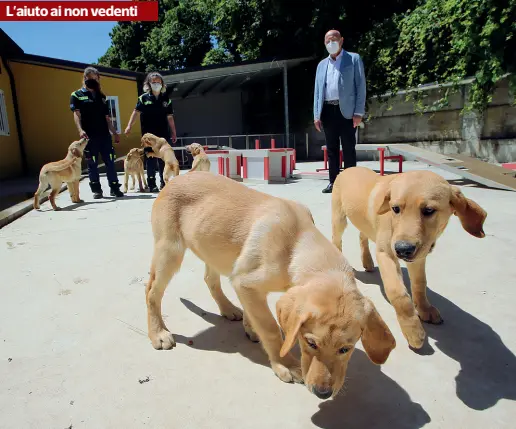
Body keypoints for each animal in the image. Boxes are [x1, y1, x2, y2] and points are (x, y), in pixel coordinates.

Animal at [145, 170, 396, 398]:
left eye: (346, 349)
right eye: (310, 343)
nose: (322, 393)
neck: (297, 242)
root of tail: (176, 178)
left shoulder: (242, 281)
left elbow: (254, 314)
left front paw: (249, 327)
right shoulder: (246, 282)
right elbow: (271, 328)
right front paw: (285, 363)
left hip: (211, 247)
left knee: (210, 279)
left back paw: (228, 309)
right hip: (170, 250)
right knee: (151, 291)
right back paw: (158, 333)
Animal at [330, 166, 488, 350]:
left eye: (428, 211)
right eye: (395, 209)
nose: (403, 250)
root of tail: (348, 168)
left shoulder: (418, 256)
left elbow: (420, 283)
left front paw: (425, 309)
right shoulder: (386, 253)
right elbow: (398, 293)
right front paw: (413, 332)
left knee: (363, 235)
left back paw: (367, 261)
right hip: (339, 219)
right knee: (336, 240)